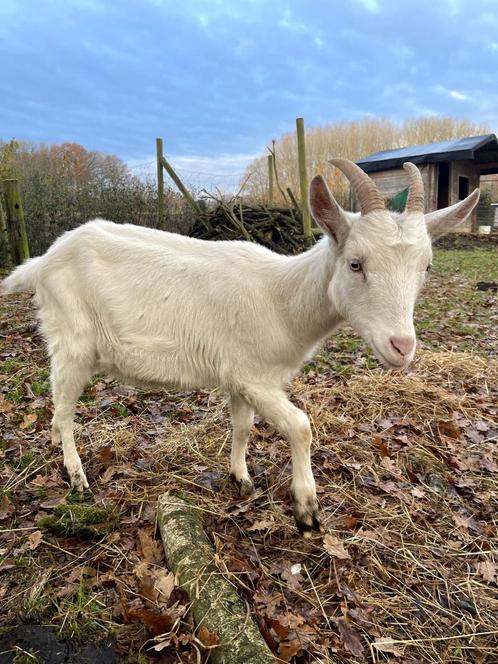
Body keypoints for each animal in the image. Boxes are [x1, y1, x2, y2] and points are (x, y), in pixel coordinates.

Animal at [1, 160, 480, 536]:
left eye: (426, 267)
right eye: (355, 263)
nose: (402, 346)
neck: (281, 298)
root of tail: (43, 261)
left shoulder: (239, 376)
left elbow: (243, 428)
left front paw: (242, 479)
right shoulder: (256, 379)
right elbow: (301, 426)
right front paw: (307, 510)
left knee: (57, 407)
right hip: (72, 340)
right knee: (64, 408)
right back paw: (77, 476)